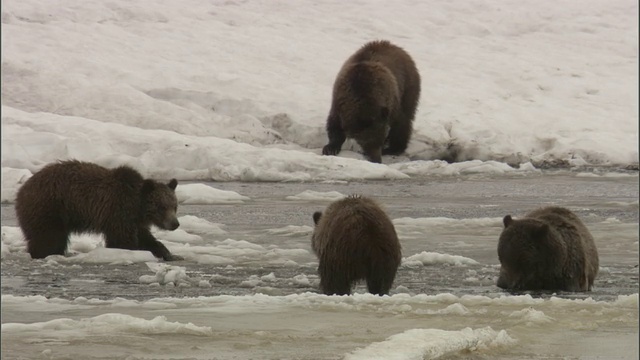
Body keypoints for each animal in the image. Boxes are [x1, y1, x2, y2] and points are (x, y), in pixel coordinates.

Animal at [15, 160, 184, 262]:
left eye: (174, 205)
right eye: (161, 207)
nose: (175, 223)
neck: (137, 207)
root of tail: (22, 190)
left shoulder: (133, 221)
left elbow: (146, 238)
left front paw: (168, 254)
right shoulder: (118, 212)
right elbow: (122, 241)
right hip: (49, 208)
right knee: (48, 237)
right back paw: (44, 254)